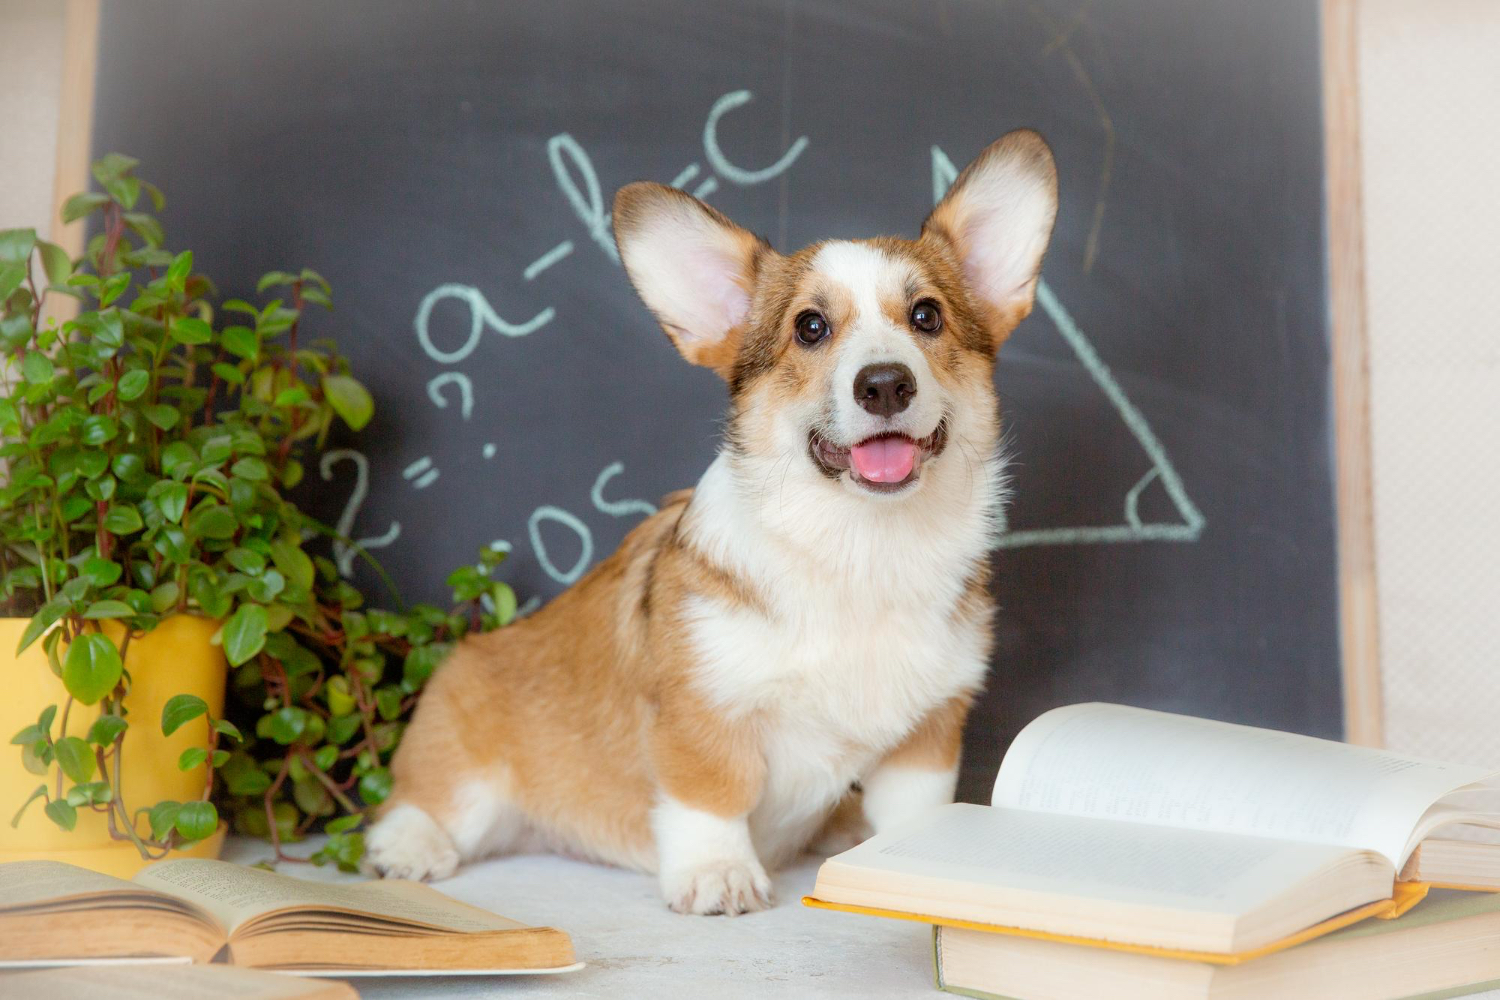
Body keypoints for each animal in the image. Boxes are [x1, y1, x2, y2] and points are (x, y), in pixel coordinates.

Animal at [364, 131, 1062, 917]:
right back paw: (410, 848)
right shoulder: (703, 715)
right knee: (414, 804)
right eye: (809, 328)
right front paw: (718, 875)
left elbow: (917, 814)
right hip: (468, 770)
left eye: (927, 317)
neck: (860, 546)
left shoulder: (929, 734)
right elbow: (712, 796)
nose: (885, 383)